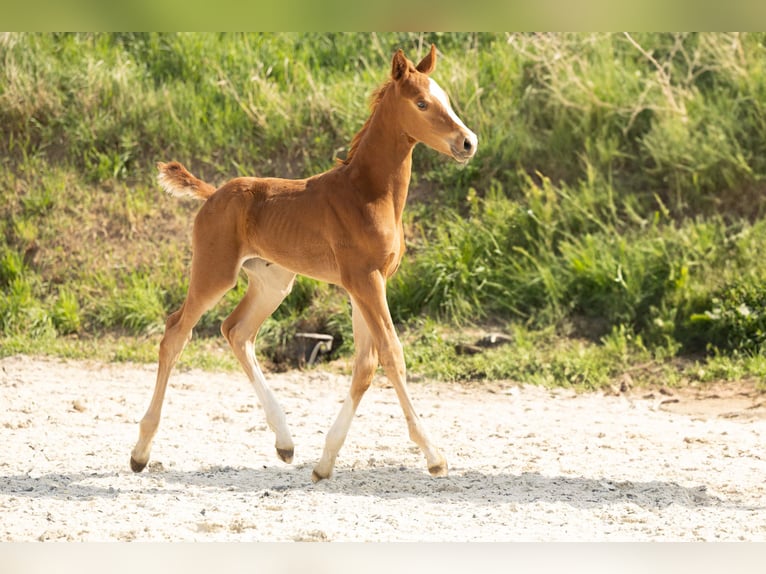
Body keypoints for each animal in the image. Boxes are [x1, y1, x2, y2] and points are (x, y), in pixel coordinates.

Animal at [130, 44, 478, 481]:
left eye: (445, 97)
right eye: (421, 103)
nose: (468, 142)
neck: (368, 194)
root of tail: (212, 194)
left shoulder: (368, 283)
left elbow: (365, 365)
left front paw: (325, 463)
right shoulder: (365, 280)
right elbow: (391, 354)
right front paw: (434, 456)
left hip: (273, 282)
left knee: (236, 331)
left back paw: (285, 442)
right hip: (215, 272)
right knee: (176, 332)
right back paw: (140, 452)